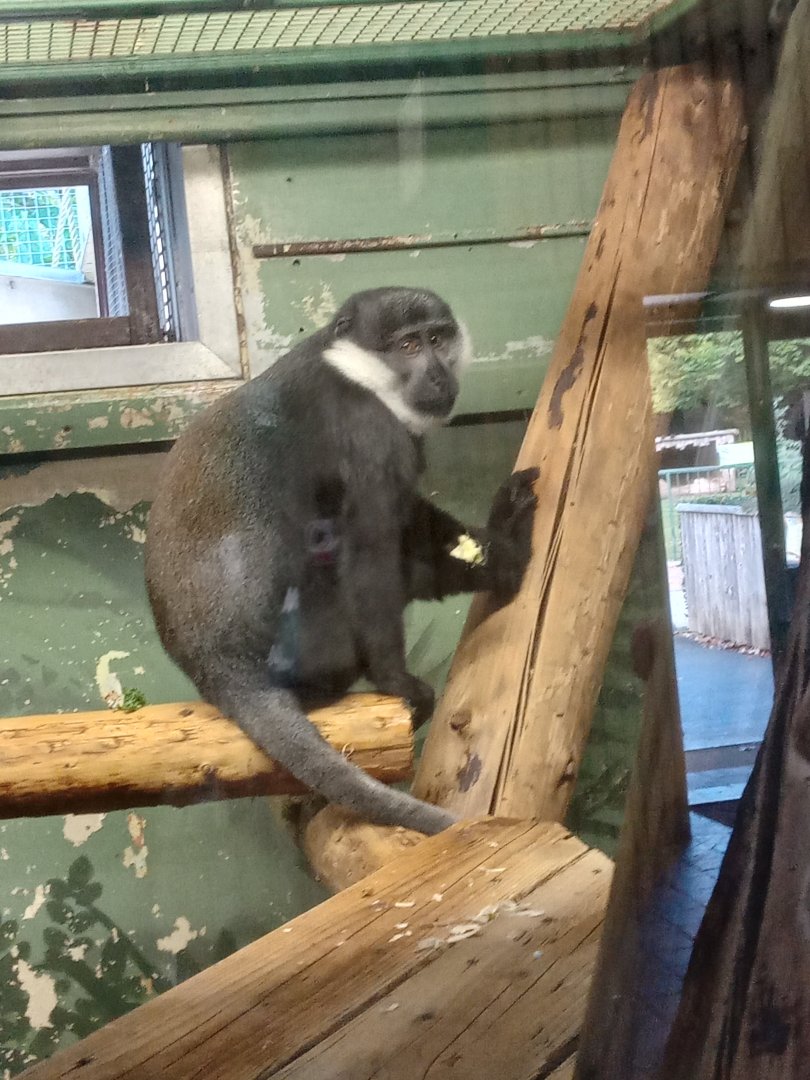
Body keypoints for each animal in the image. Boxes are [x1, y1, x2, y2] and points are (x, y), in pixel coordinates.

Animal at [145, 286, 538, 836]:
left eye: (438, 338)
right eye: (408, 346)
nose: (438, 374)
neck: (355, 370)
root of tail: (220, 668)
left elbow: (407, 521)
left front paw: (499, 546)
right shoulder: (371, 435)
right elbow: (371, 550)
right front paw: (396, 682)